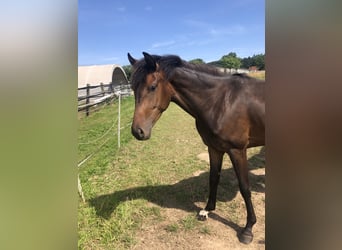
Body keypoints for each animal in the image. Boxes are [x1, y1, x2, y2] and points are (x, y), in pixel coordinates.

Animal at [127, 51, 264, 244]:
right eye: (132, 87)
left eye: (152, 87)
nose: (137, 131)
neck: (221, 102)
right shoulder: (214, 148)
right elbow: (213, 178)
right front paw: (207, 210)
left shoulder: (237, 151)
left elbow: (245, 188)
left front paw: (248, 229)